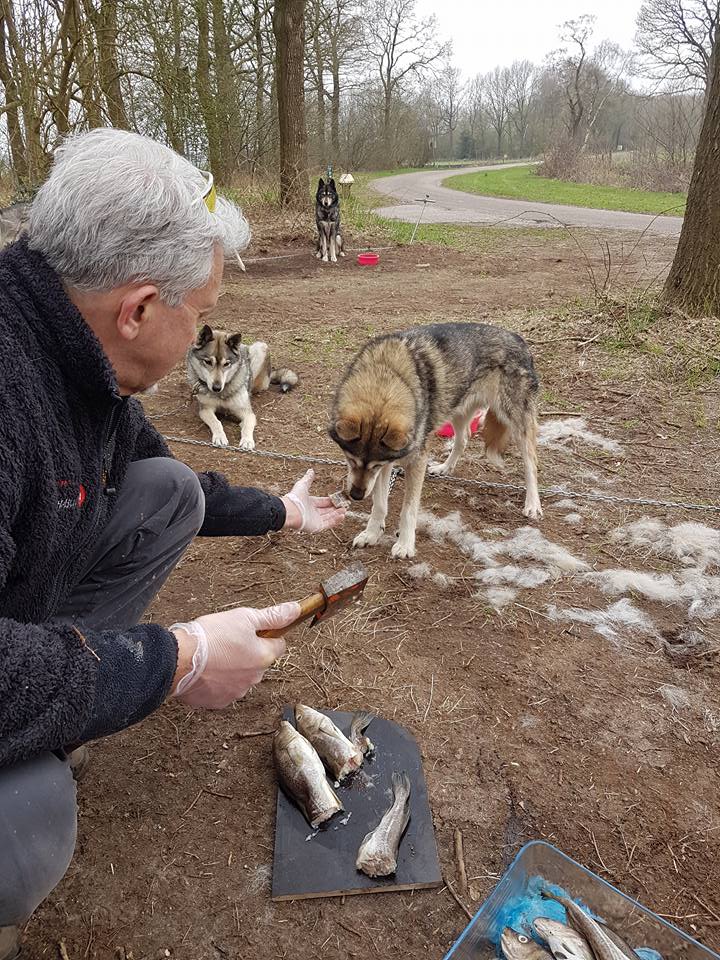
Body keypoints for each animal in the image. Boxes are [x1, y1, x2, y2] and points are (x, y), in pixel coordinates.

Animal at [326, 318, 540, 560]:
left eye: (374, 466)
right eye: (350, 460)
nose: (356, 495)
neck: (385, 375)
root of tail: (518, 338)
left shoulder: (411, 461)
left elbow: (408, 510)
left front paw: (405, 545)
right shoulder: (389, 463)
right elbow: (379, 505)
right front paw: (371, 534)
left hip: (516, 422)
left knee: (531, 461)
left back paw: (533, 503)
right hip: (456, 410)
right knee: (464, 439)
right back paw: (444, 468)